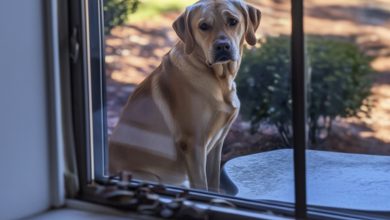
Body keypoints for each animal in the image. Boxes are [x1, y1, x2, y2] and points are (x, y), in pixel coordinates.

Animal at [109, 0, 260, 192]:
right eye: (203, 26)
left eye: (233, 21)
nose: (222, 46)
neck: (218, 79)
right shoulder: (193, 143)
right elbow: (202, 185)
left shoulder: (217, 144)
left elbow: (213, 182)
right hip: (151, 177)